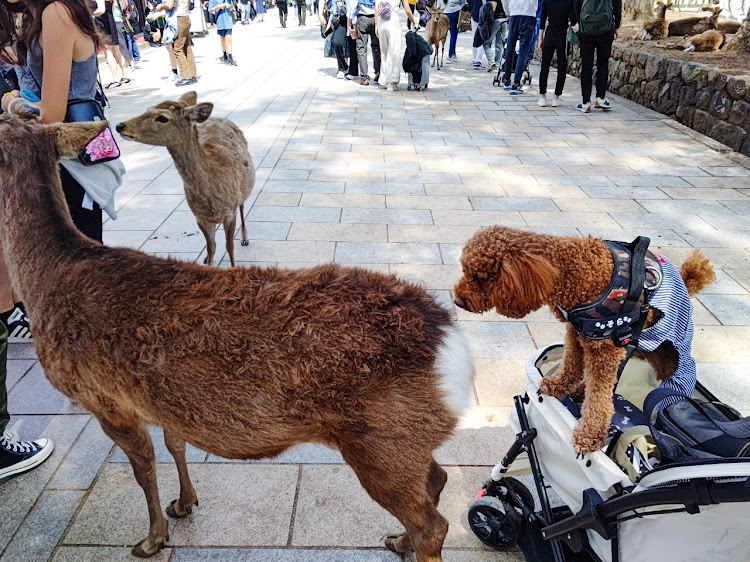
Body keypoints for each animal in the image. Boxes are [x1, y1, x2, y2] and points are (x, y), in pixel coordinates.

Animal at [0, 112, 476, 560]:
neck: (48, 277)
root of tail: (455, 351)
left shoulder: (103, 397)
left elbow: (143, 467)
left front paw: (152, 538)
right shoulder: (160, 399)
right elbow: (175, 442)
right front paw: (184, 503)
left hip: (381, 441)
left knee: (432, 525)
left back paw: (408, 537)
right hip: (407, 440)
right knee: (437, 479)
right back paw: (398, 539)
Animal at [117, 92, 256, 266]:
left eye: (162, 118)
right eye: (147, 108)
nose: (120, 125)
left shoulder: (230, 211)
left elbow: (229, 247)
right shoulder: (199, 216)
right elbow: (211, 247)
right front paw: (208, 261)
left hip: (242, 192)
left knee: (242, 206)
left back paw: (244, 238)